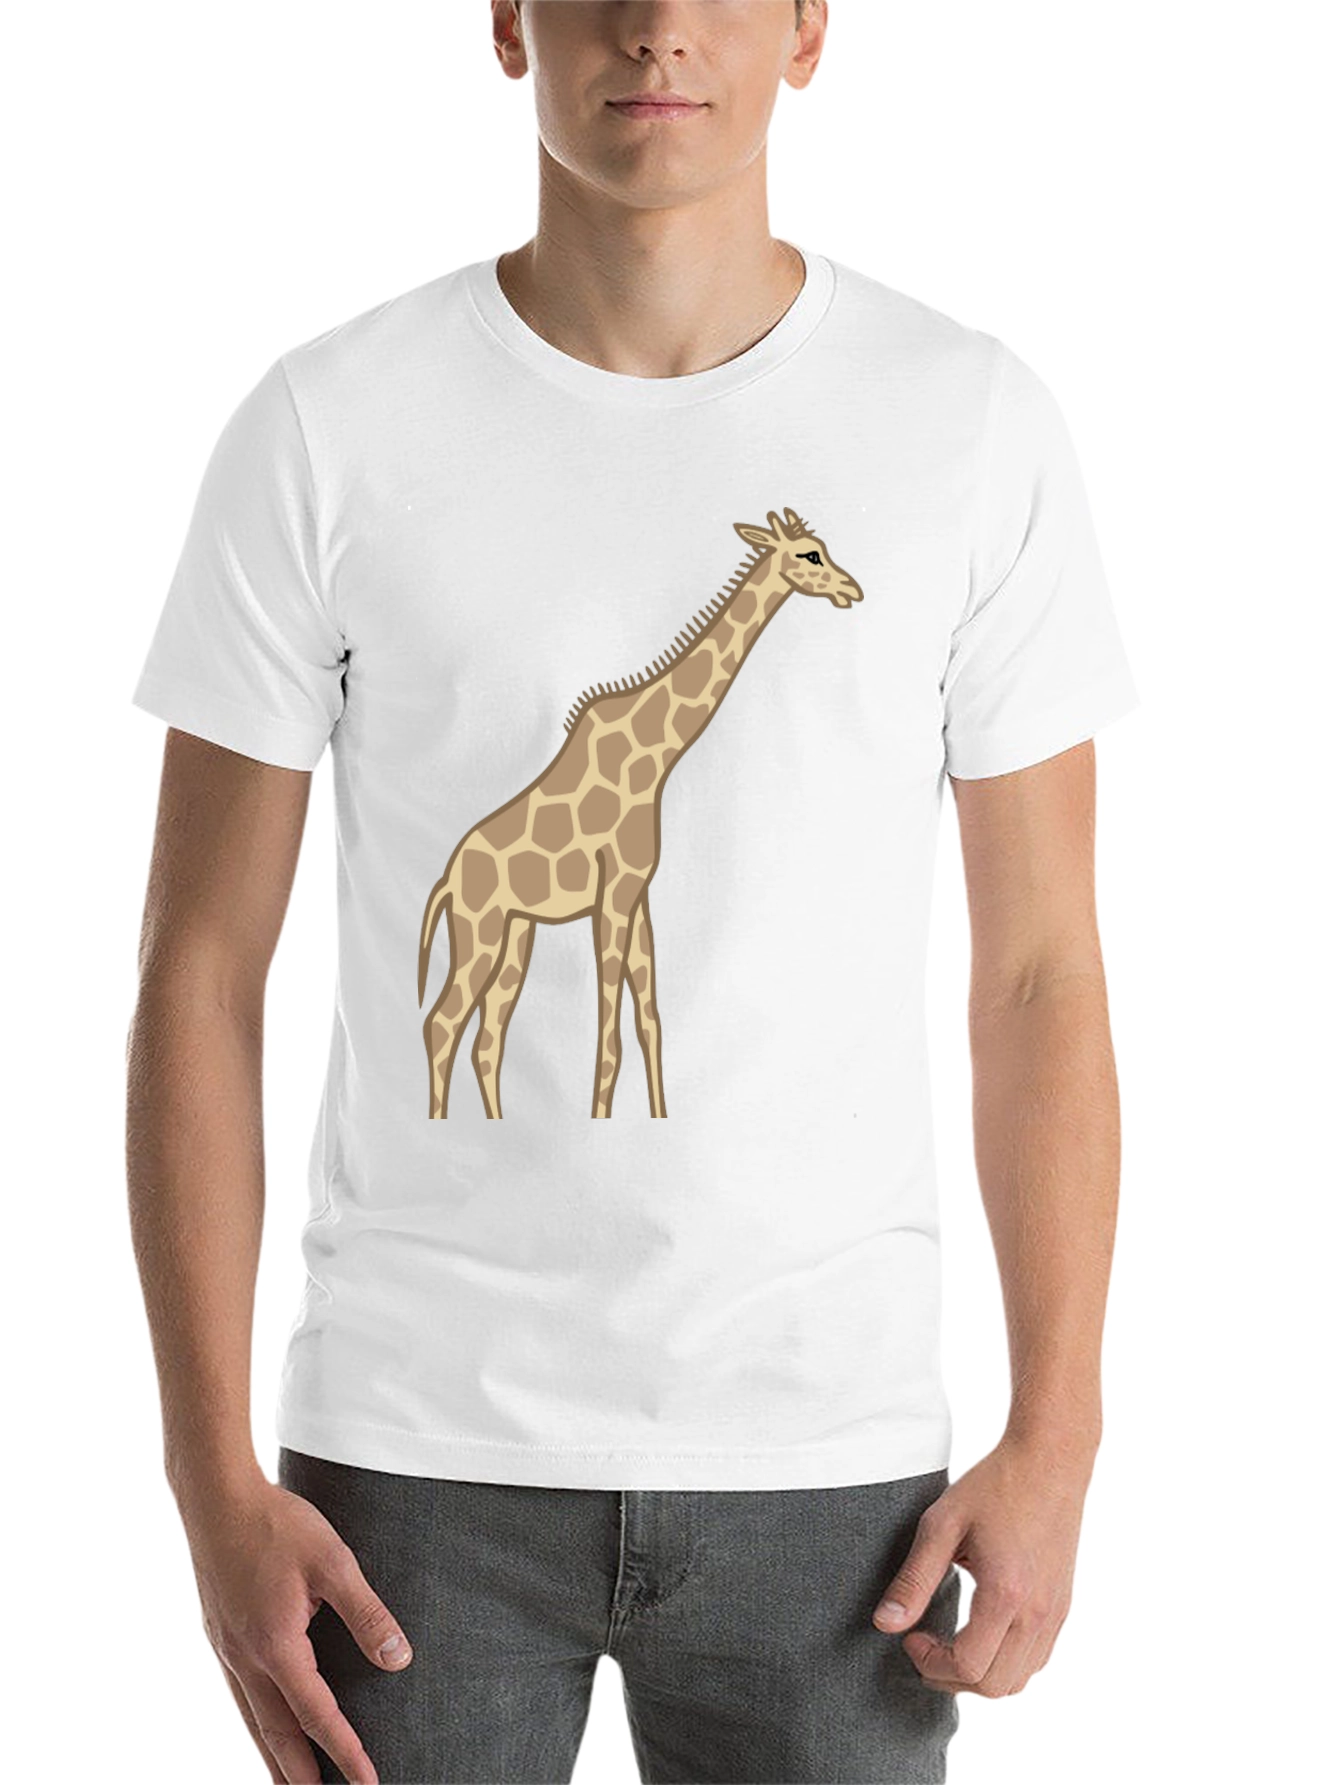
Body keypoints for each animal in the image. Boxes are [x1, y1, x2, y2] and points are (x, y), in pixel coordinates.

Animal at [417, 507, 864, 1120]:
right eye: (810, 555)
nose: (853, 590)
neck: (657, 757)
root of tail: (447, 879)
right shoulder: (612, 895)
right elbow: (610, 1038)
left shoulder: (638, 893)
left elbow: (650, 1023)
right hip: (478, 926)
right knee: (442, 1024)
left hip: (515, 935)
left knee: (487, 1039)